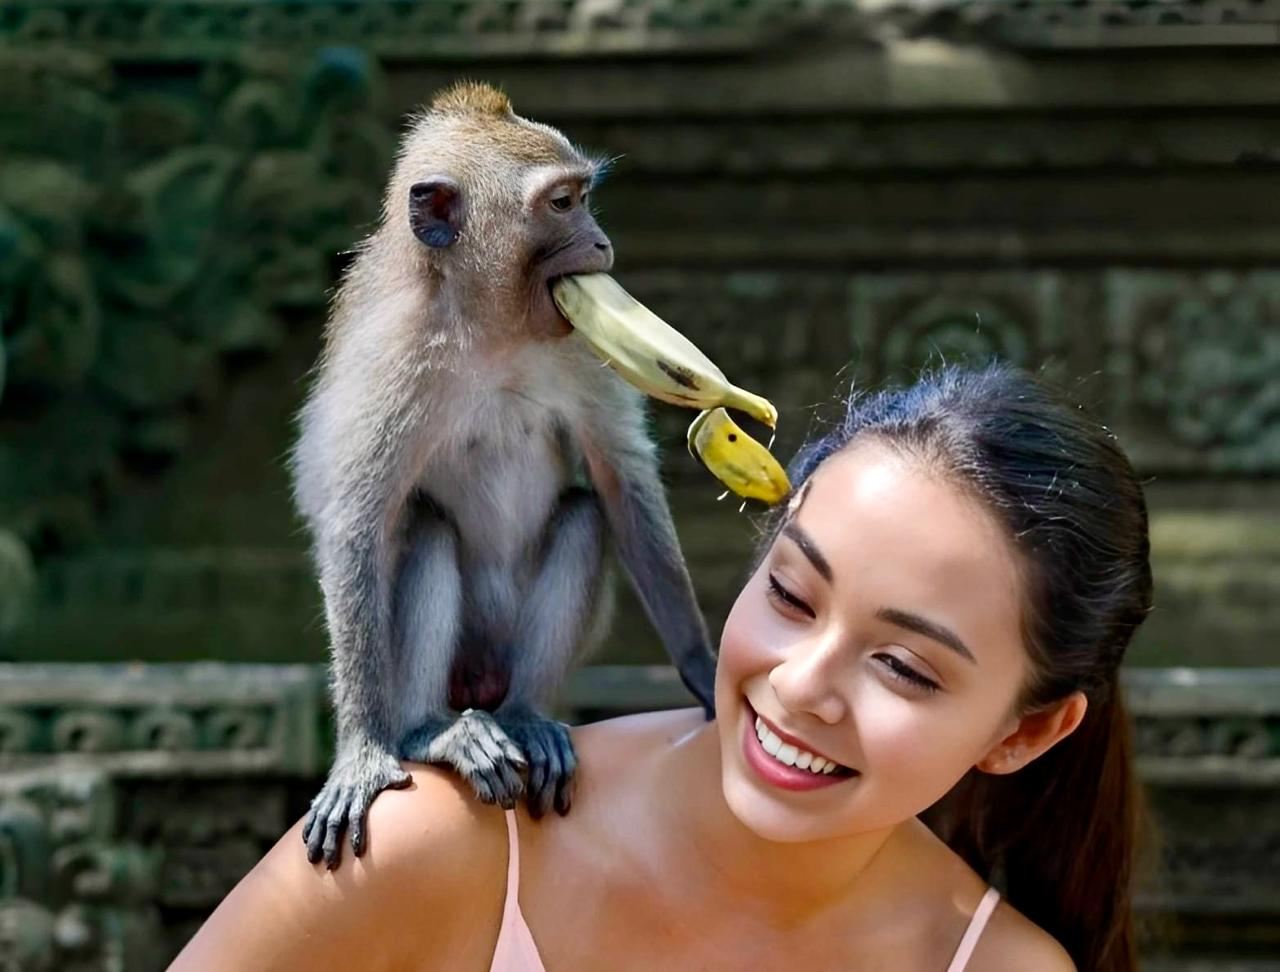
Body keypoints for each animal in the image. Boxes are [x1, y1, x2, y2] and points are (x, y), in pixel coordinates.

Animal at [291, 81, 717, 869]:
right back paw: (430, 731)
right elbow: (355, 525)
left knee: (582, 515)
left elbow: (621, 480)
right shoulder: (395, 357)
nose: (602, 245)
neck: (490, 328)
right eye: (562, 203)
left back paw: (525, 718)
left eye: (583, 197)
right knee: (423, 526)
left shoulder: (580, 343)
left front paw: (705, 668)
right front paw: (361, 751)